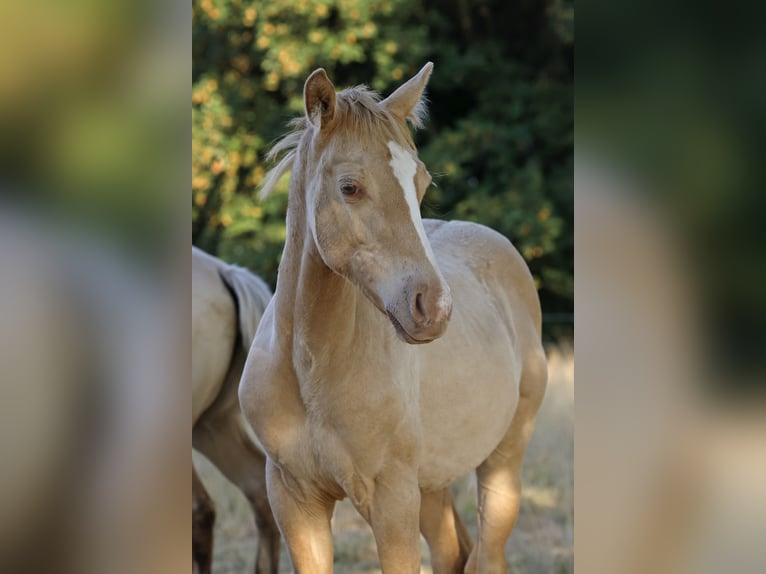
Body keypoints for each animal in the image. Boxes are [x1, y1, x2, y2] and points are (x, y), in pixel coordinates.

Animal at [238, 63, 547, 574]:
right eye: (349, 186)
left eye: (420, 183)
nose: (433, 308)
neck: (312, 367)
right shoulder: (294, 500)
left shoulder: (392, 503)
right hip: (433, 487)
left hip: (501, 466)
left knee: (486, 556)